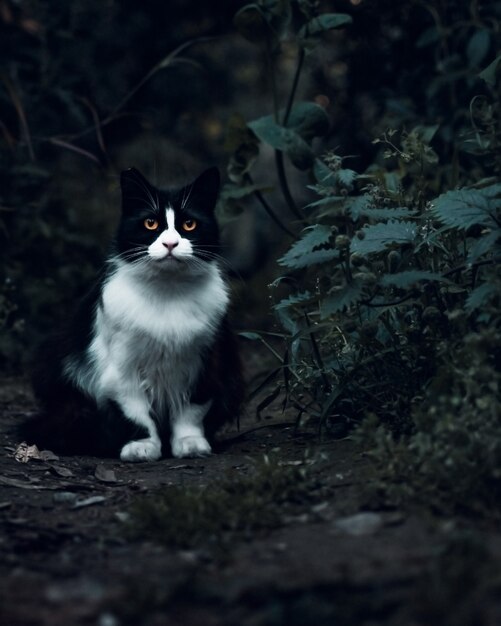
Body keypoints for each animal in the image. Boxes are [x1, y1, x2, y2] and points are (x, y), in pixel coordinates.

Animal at [20, 166, 243, 458]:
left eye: (189, 225)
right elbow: (135, 412)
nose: (170, 244)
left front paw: (190, 443)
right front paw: (141, 445)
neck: (167, 291)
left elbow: (192, 409)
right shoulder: (121, 368)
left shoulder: (207, 361)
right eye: (150, 224)